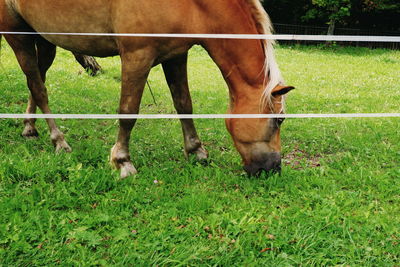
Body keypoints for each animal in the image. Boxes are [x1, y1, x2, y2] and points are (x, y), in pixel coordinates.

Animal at [0, 0, 294, 180]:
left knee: (36, 81)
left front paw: (196, 151)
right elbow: (128, 112)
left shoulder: (176, 55)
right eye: (278, 120)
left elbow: (184, 103)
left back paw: (30, 127)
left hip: (43, 38)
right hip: (17, 36)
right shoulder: (136, 56)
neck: (191, 6)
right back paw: (59, 141)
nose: (273, 169)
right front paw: (122, 162)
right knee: (39, 87)